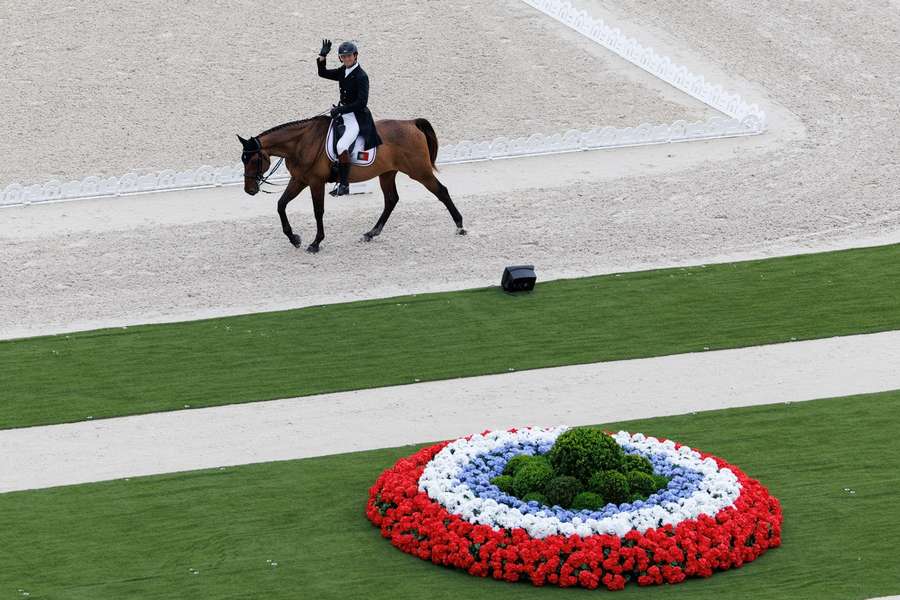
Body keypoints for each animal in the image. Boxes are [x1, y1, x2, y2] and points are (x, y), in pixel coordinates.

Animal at [236, 115, 468, 253]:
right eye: (243, 159)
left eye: (253, 160)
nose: (249, 190)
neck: (302, 143)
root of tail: (411, 122)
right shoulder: (299, 180)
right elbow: (281, 205)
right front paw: (294, 238)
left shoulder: (315, 182)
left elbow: (318, 211)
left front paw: (315, 243)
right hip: (387, 173)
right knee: (391, 200)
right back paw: (371, 233)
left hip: (419, 171)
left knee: (441, 191)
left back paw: (460, 226)